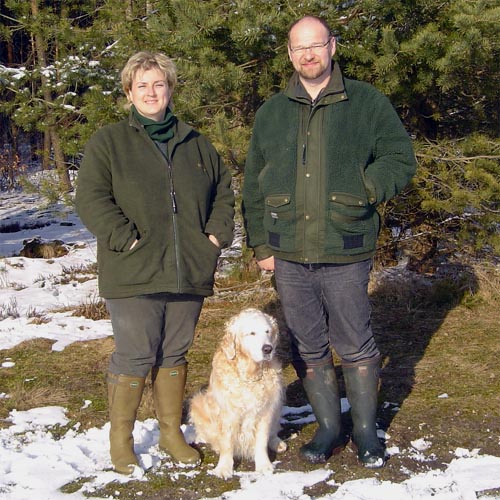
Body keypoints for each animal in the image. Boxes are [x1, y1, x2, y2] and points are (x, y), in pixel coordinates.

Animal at [189, 306, 288, 478]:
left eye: (267, 331)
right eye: (252, 333)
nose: (268, 349)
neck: (250, 374)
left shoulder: (266, 411)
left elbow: (261, 440)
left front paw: (264, 465)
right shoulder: (228, 413)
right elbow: (227, 443)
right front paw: (224, 468)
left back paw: (277, 443)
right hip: (198, 402)